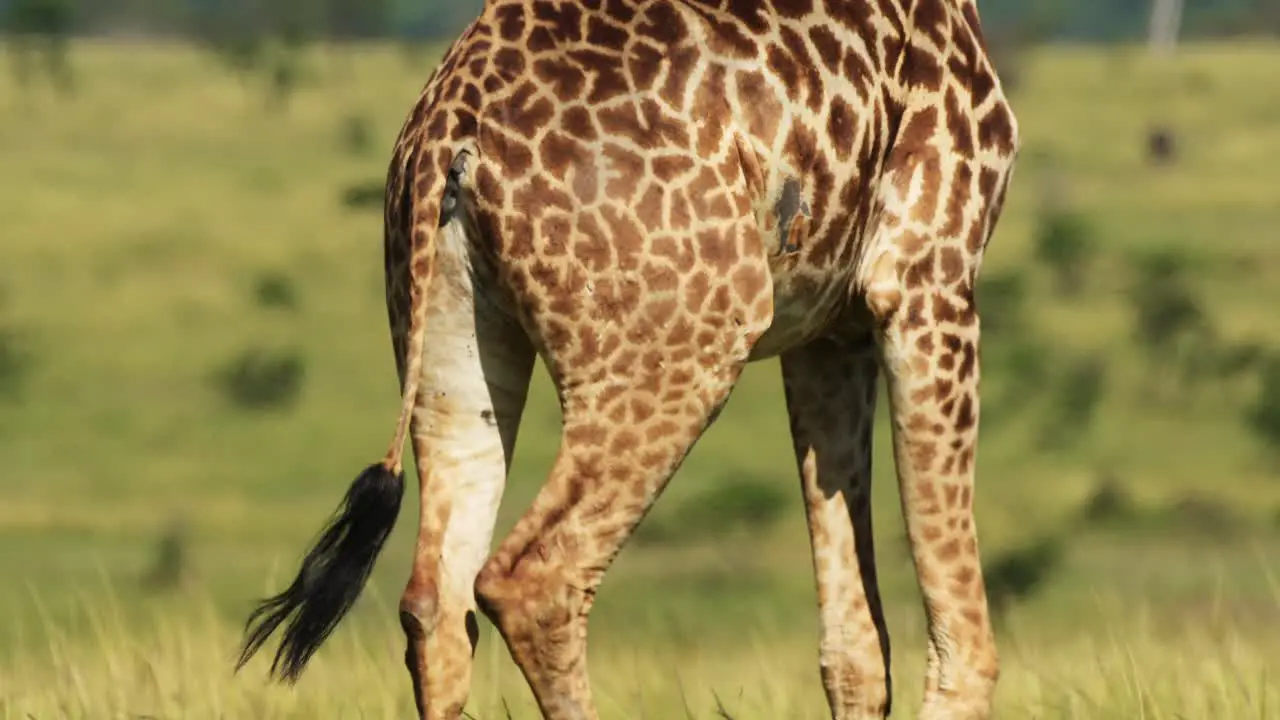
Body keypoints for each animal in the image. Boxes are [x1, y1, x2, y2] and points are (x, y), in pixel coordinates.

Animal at [238, 1, 1018, 717]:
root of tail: (447, 127)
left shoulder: (830, 329)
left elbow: (855, 647)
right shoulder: (927, 272)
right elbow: (963, 639)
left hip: (448, 336)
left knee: (436, 601)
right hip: (688, 336)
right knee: (533, 579)